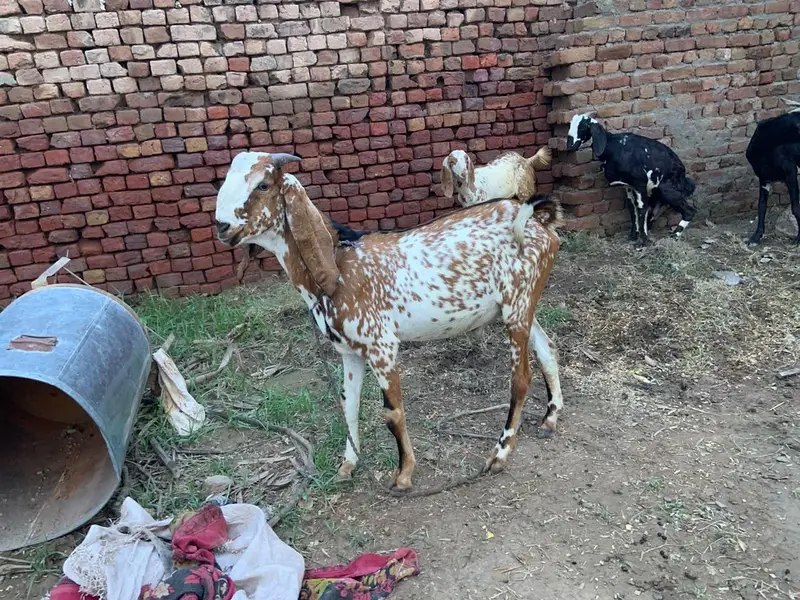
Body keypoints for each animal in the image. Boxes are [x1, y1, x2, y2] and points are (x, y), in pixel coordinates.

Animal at [215, 152, 565, 491]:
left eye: (263, 185)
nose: (221, 226)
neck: (340, 263)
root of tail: (538, 219)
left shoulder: (381, 346)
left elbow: (392, 413)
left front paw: (404, 474)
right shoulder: (350, 352)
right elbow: (349, 405)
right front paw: (348, 466)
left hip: (517, 307)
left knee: (520, 378)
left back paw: (500, 454)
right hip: (519, 305)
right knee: (548, 347)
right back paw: (550, 418)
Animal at [566, 114, 696, 246]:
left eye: (583, 127)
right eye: (570, 125)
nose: (570, 146)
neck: (614, 147)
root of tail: (682, 171)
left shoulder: (640, 183)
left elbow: (641, 209)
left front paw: (642, 241)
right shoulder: (628, 186)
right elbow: (633, 210)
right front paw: (633, 236)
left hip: (666, 189)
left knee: (689, 211)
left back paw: (674, 236)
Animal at [745, 98, 800, 245]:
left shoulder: (790, 173)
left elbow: (796, 208)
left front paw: (798, 239)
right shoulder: (764, 178)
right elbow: (761, 206)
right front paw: (756, 236)